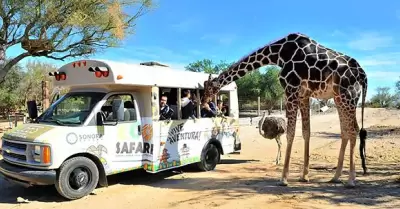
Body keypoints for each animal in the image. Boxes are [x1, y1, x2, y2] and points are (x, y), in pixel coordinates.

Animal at [203, 32, 368, 188]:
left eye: (209, 88)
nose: (204, 102)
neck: (278, 54)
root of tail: (363, 75)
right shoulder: (303, 95)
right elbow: (306, 132)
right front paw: (304, 176)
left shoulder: (291, 89)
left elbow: (290, 133)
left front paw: (283, 179)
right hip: (340, 98)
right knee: (346, 130)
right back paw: (335, 177)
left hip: (347, 96)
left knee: (353, 129)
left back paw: (351, 180)